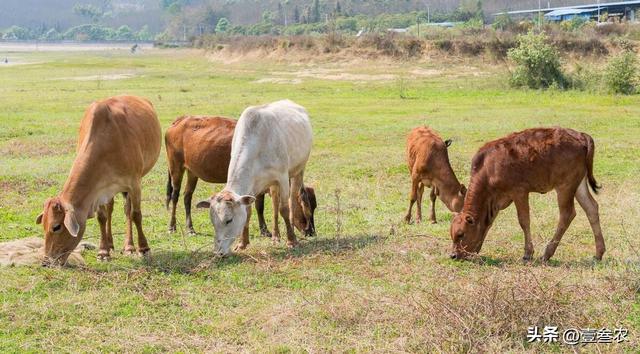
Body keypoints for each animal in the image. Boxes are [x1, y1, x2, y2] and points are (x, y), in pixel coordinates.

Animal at [36, 95, 161, 266]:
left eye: (56, 227)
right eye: (43, 225)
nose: (46, 261)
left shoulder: (134, 183)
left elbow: (136, 214)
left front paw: (144, 249)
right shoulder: (99, 189)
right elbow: (102, 216)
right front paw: (103, 251)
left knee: (127, 210)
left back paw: (129, 246)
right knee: (110, 209)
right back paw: (110, 244)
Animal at [164, 115, 316, 238]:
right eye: (305, 207)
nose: (311, 232)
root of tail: (179, 120)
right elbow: (259, 206)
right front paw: (265, 231)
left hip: (192, 172)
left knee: (187, 196)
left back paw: (190, 228)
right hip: (176, 167)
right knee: (175, 196)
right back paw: (172, 226)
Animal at [196, 99, 314, 254]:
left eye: (229, 220)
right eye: (213, 222)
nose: (218, 252)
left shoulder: (282, 177)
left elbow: (284, 209)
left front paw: (291, 241)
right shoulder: (252, 186)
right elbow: (249, 212)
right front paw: (242, 243)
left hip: (299, 170)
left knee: (292, 201)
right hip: (274, 184)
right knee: (275, 203)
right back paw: (275, 236)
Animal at [450, 126, 604, 262]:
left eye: (461, 234)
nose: (453, 255)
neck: (488, 169)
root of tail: (580, 135)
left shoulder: (519, 192)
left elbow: (524, 221)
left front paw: (527, 254)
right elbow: (489, 224)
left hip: (565, 187)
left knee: (567, 214)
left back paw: (547, 254)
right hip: (579, 185)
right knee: (591, 208)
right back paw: (598, 254)